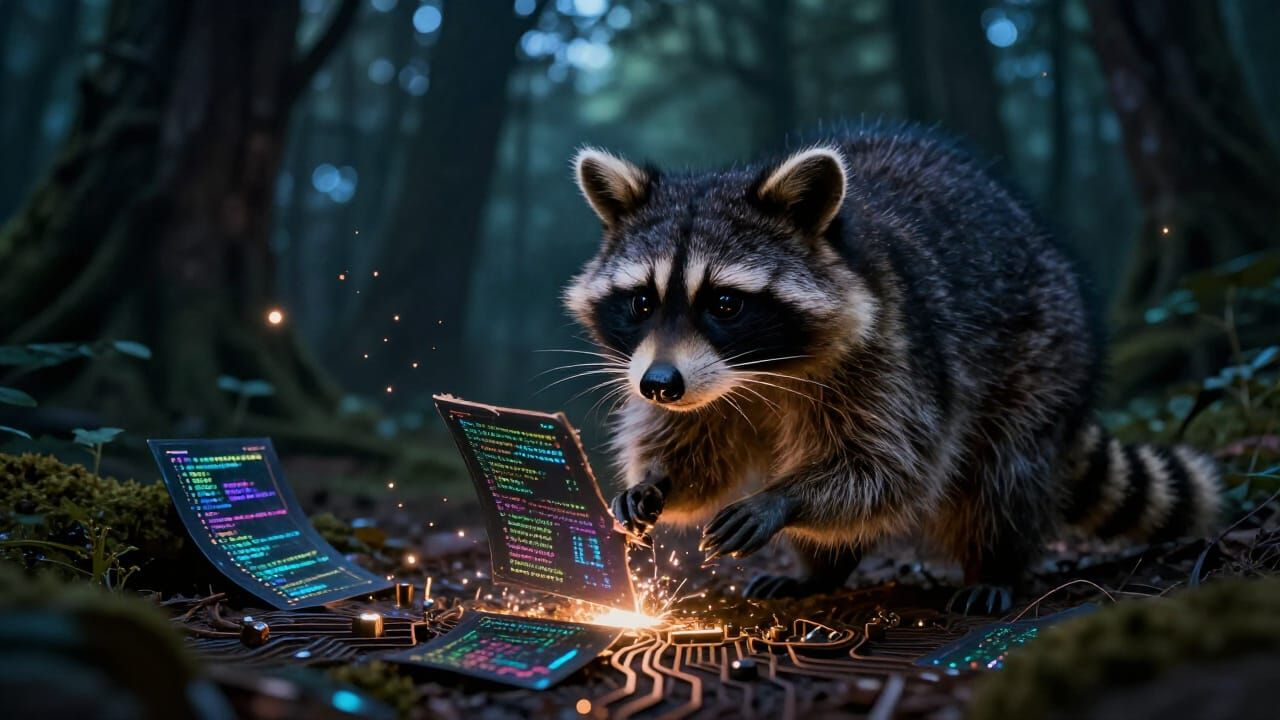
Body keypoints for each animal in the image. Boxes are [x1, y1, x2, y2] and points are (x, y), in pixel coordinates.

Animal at [561, 125, 1221, 612]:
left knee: (1002, 474)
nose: (659, 386)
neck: (757, 375)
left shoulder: (896, 350)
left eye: (725, 304)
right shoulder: (694, 384)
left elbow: (892, 467)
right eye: (641, 302)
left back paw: (997, 564)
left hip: (1044, 353)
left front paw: (784, 497)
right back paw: (819, 571)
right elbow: (694, 447)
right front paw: (655, 482)